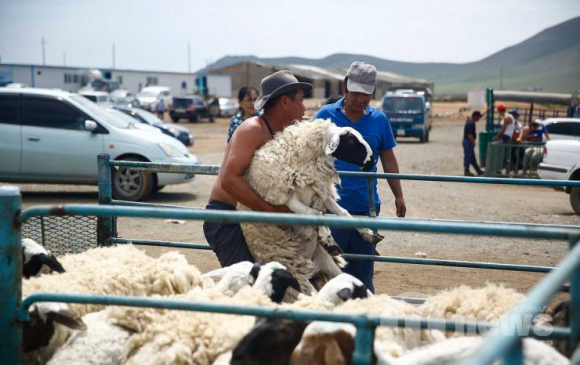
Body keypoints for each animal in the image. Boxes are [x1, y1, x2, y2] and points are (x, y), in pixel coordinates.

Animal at [238, 118, 382, 300]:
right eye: (350, 140)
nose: (371, 161)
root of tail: (309, 266)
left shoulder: (320, 191)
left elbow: (343, 213)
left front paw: (368, 234)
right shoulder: (287, 199)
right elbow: (315, 214)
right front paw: (328, 239)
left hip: (324, 261)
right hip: (293, 269)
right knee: (311, 295)